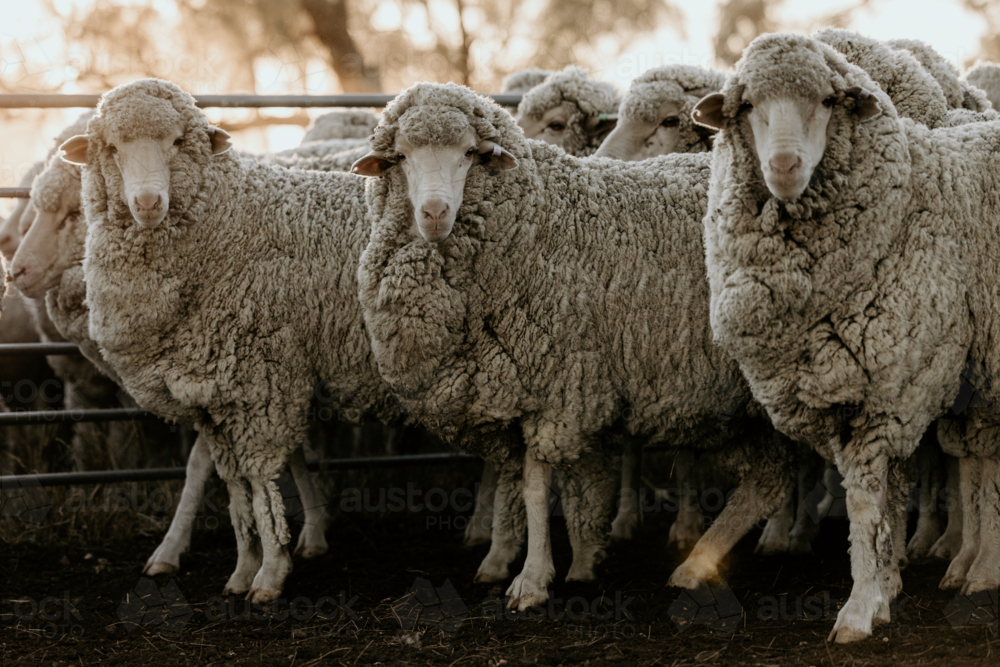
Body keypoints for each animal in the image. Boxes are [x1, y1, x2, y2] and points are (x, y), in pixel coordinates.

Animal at [61, 78, 405, 602]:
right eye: (112, 148)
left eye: (177, 142)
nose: (147, 204)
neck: (229, 221)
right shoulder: (213, 398)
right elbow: (235, 489)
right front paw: (243, 570)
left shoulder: (259, 386)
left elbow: (260, 482)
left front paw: (270, 575)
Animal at [353, 81, 799, 611]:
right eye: (400, 156)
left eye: (470, 154)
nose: (435, 213)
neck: (534, 221)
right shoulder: (530, 390)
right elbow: (547, 484)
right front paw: (563, 559)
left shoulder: (560, 386)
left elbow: (537, 485)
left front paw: (533, 578)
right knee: (767, 481)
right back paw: (696, 565)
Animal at [693, 32, 1000, 642]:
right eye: (745, 106)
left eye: (828, 101)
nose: (784, 165)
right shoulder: (850, 388)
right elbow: (884, 500)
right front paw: (882, 589)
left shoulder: (887, 388)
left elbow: (864, 501)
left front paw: (858, 610)